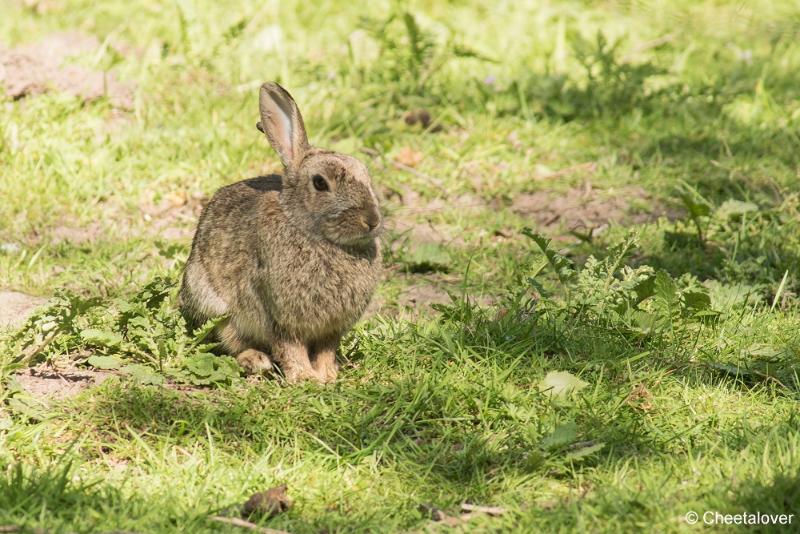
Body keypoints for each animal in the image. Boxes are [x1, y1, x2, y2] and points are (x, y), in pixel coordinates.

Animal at [179, 82, 384, 386]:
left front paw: (328, 376)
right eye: (320, 183)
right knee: (229, 339)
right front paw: (305, 378)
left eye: (367, 176)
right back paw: (256, 360)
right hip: (213, 304)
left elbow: (326, 349)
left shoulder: (331, 327)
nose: (371, 221)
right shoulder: (279, 315)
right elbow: (291, 347)